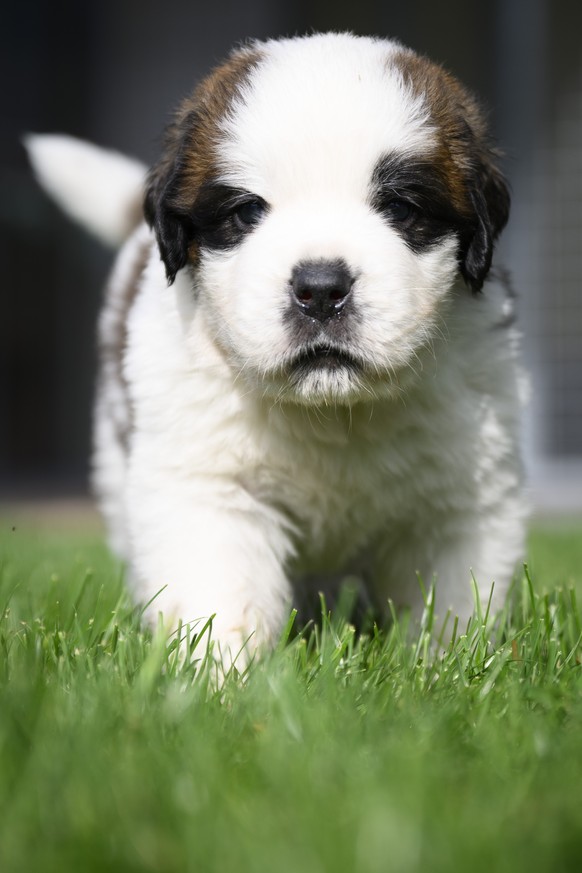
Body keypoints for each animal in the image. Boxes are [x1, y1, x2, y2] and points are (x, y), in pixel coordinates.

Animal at [27, 32, 528, 660]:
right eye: (246, 212)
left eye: (400, 209)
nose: (321, 289)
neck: (332, 414)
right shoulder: (208, 483)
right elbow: (217, 593)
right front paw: (217, 674)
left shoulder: (462, 496)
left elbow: (452, 606)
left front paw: (441, 666)